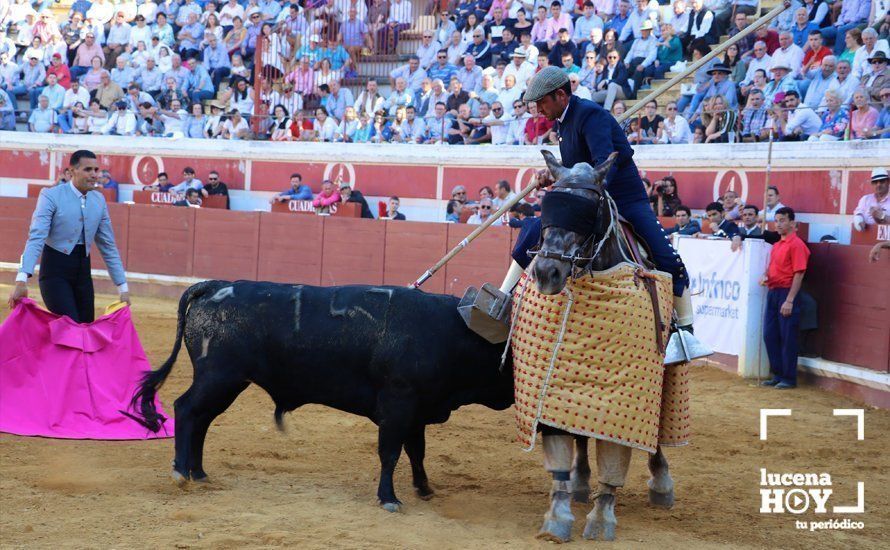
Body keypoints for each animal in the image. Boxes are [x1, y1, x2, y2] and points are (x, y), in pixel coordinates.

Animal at [128, 282, 510, 512]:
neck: (451, 332)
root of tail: (214, 286)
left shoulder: (417, 410)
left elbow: (417, 452)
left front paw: (425, 489)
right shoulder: (398, 404)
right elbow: (390, 453)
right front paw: (389, 498)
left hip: (227, 383)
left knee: (202, 420)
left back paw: (200, 473)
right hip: (218, 377)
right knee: (186, 409)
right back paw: (181, 472)